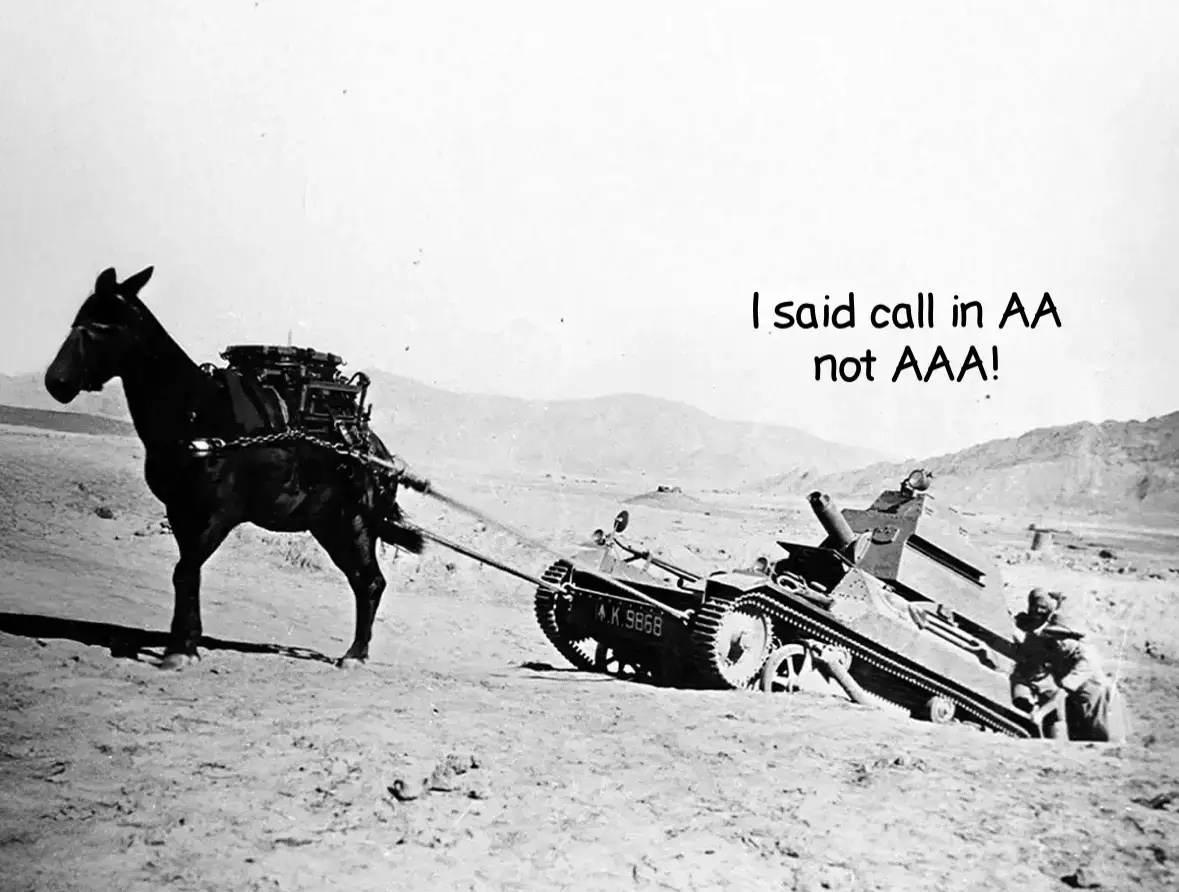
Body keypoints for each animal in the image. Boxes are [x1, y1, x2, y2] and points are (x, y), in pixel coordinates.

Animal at [43, 265, 427, 671]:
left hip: (354, 522)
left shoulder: (219, 513)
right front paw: (186, 643)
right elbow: (187, 572)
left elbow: (185, 570)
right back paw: (355, 653)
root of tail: (378, 452)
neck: (197, 414)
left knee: (370, 581)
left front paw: (179, 651)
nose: (56, 382)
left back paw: (355, 655)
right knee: (364, 580)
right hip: (329, 524)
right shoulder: (181, 511)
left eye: (101, 326)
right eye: (78, 320)